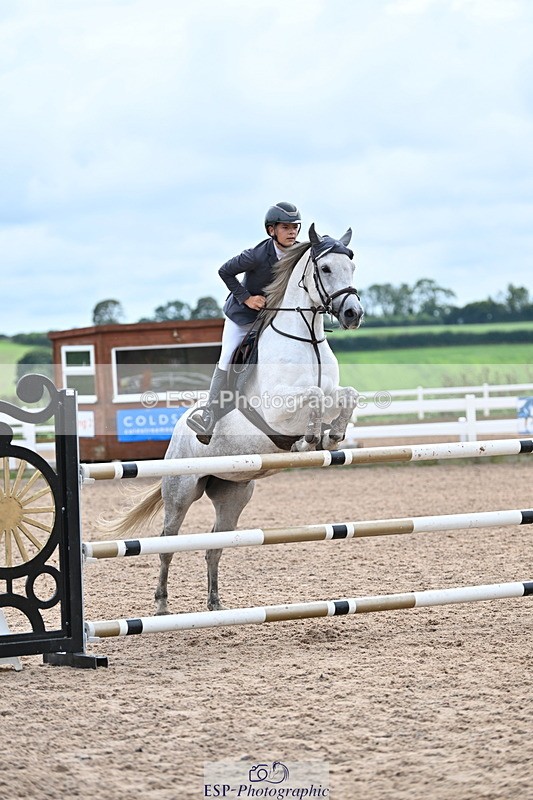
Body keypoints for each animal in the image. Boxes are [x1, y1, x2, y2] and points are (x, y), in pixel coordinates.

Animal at [104, 224, 364, 614]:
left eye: (352, 266)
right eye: (326, 268)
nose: (352, 314)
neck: (307, 339)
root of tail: (176, 433)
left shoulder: (332, 391)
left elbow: (346, 394)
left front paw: (332, 437)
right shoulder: (276, 408)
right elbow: (313, 398)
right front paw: (309, 440)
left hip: (234, 493)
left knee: (215, 544)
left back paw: (215, 604)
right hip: (181, 492)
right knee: (167, 542)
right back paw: (162, 605)